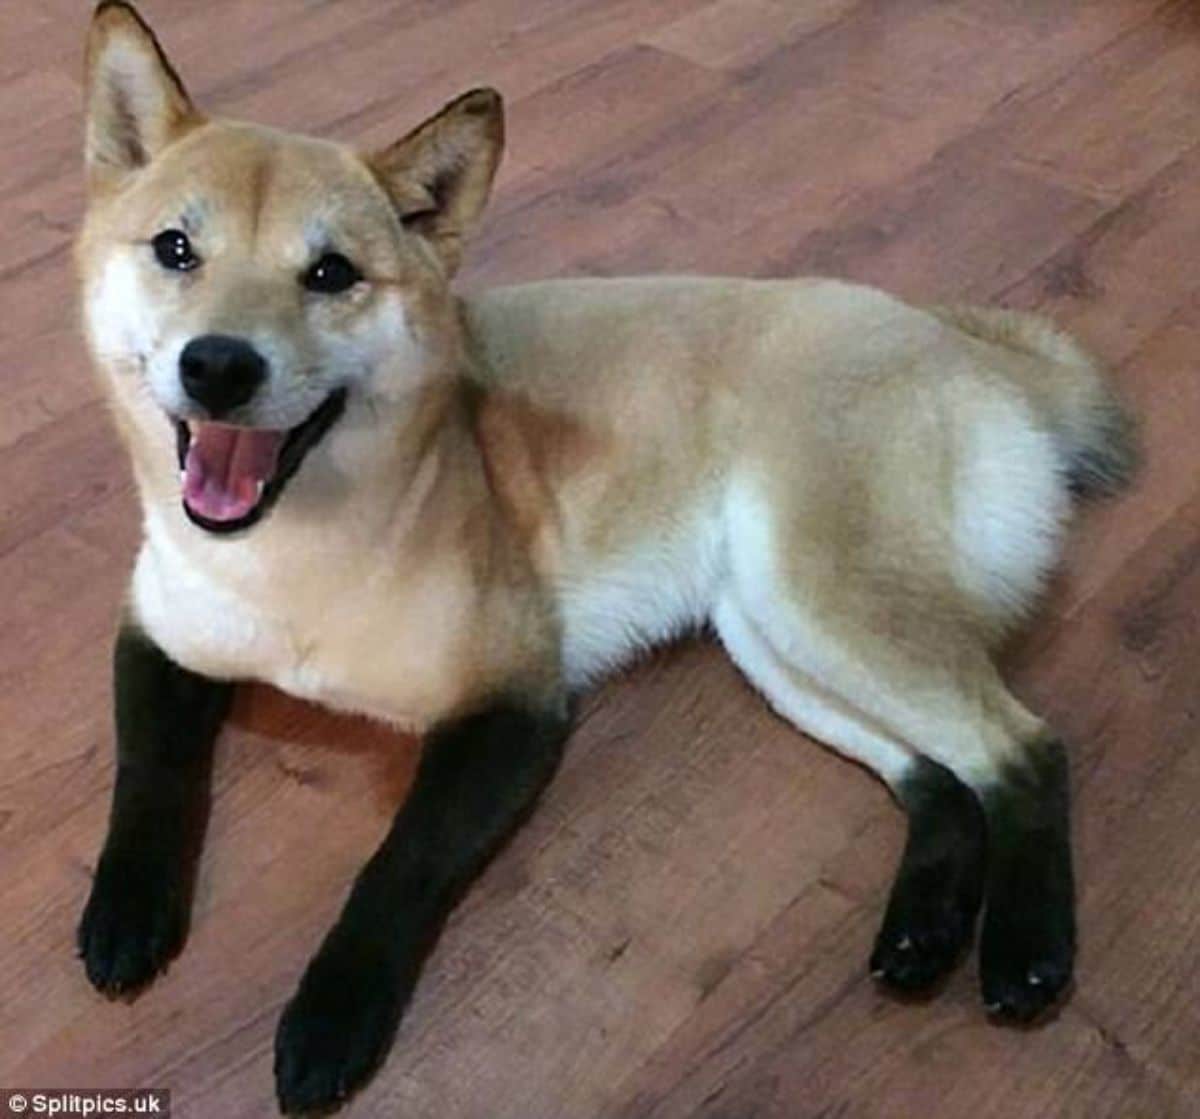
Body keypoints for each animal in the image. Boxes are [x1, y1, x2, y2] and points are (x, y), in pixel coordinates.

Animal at [75, 0, 1142, 1109]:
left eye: (330, 274)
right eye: (175, 248)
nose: (218, 366)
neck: (287, 557)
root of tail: (967, 348)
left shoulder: (512, 705)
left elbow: (396, 868)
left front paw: (333, 1013)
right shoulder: (157, 639)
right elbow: (148, 776)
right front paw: (126, 910)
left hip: (819, 597)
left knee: (1023, 750)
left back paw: (1027, 950)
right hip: (769, 630)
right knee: (940, 780)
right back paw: (923, 932)